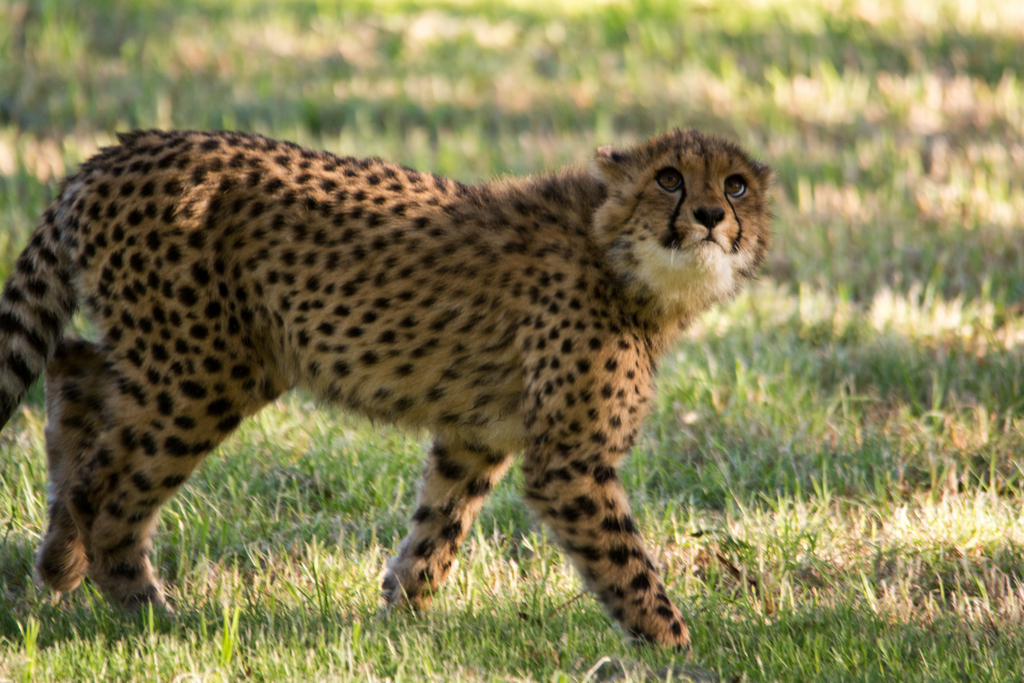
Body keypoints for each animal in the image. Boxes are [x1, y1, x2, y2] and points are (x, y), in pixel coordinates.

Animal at [0, 127, 772, 650]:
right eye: (670, 179)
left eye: (735, 185)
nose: (711, 216)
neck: (620, 259)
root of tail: (112, 154)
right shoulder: (569, 463)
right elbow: (628, 565)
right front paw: (680, 649)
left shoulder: (475, 435)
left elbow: (438, 529)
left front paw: (397, 623)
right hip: (204, 369)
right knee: (106, 488)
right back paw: (150, 613)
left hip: (184, 354)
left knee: (75, 369)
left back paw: (58, 563)